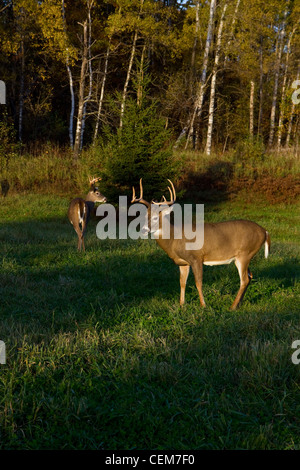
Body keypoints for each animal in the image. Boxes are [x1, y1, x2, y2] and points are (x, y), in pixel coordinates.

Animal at [131, 178, 270, 310]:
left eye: (155, 218)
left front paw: (203, 305)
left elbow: (198, 282)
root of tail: (265, 231)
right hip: (244, 256)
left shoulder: (196, 257)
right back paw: (239, 304)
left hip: (244, 254)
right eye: (144, 217)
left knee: (244, 280)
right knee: (250, 277)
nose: (143, 230)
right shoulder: (183, 262)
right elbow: (182, 282)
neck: (175, 239)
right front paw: (181, 305)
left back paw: (232, 307)